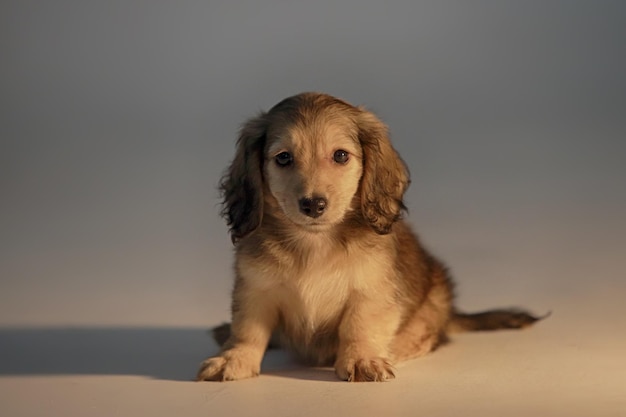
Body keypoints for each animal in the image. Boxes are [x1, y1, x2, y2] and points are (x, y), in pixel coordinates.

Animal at [196, 92, 540, 380]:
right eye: (283, 158)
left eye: (340, 156)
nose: (313, 205)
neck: (314, 243)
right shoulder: (255, 289)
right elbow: (247, 330)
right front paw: (234, 358)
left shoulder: (371, 291)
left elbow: (359, 326)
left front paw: (362, 359)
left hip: (435, 298)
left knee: (429, 335)